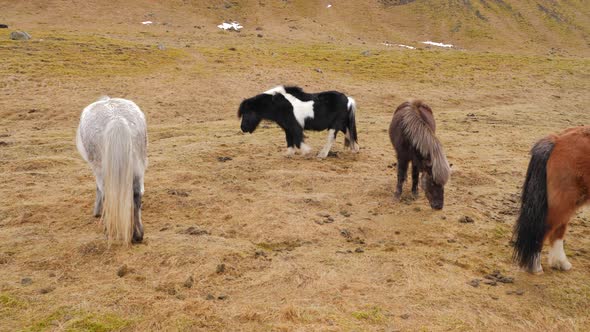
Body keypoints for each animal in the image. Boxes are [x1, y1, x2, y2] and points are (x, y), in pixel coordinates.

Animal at [75, 96, 148, 244]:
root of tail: (116, 119)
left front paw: (97, 212)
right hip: (138, 167)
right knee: (136, 194)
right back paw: (137, 235)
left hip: (100, 169)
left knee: (107, 194)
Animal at [512, 126, 590, 274]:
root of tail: (558, 139)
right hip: (564, 201)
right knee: (544, 229)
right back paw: (535, 267)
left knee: (558, 230)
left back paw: (560, 262)